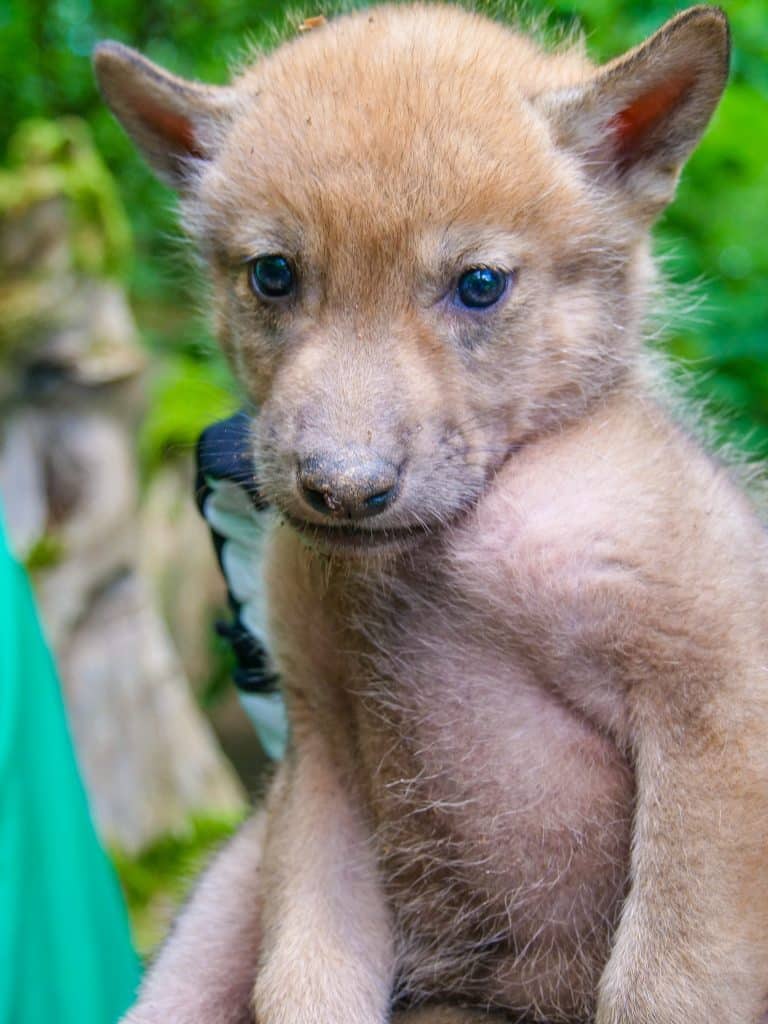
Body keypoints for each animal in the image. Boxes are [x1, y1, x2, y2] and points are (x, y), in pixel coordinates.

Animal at [94, 4, 768, 1022]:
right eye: (273, 274)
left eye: (480, 284)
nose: (342, 487)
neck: (432, 562)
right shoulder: (322, 742)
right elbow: (305, 976)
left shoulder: (716, 710)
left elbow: (670, 979)